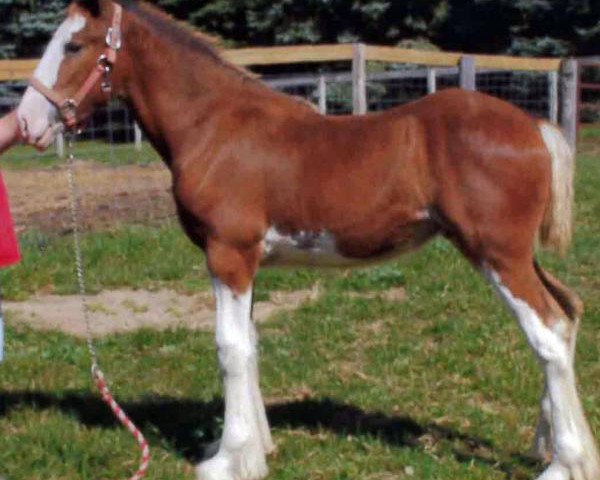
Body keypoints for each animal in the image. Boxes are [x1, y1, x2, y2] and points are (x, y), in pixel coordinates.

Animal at [14, 0, 600, 480]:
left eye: (73, 45)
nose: (28, 123)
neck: (214, 126)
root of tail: (534, 127)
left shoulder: (227, 255)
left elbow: (229, 348)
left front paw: (227, 459)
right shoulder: (248, 262)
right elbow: (249, 344)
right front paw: (257, 451)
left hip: (497, 255)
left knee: (547, 333)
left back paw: (563, 463)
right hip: (518, 255)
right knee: (567, 313)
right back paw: (553, 446)